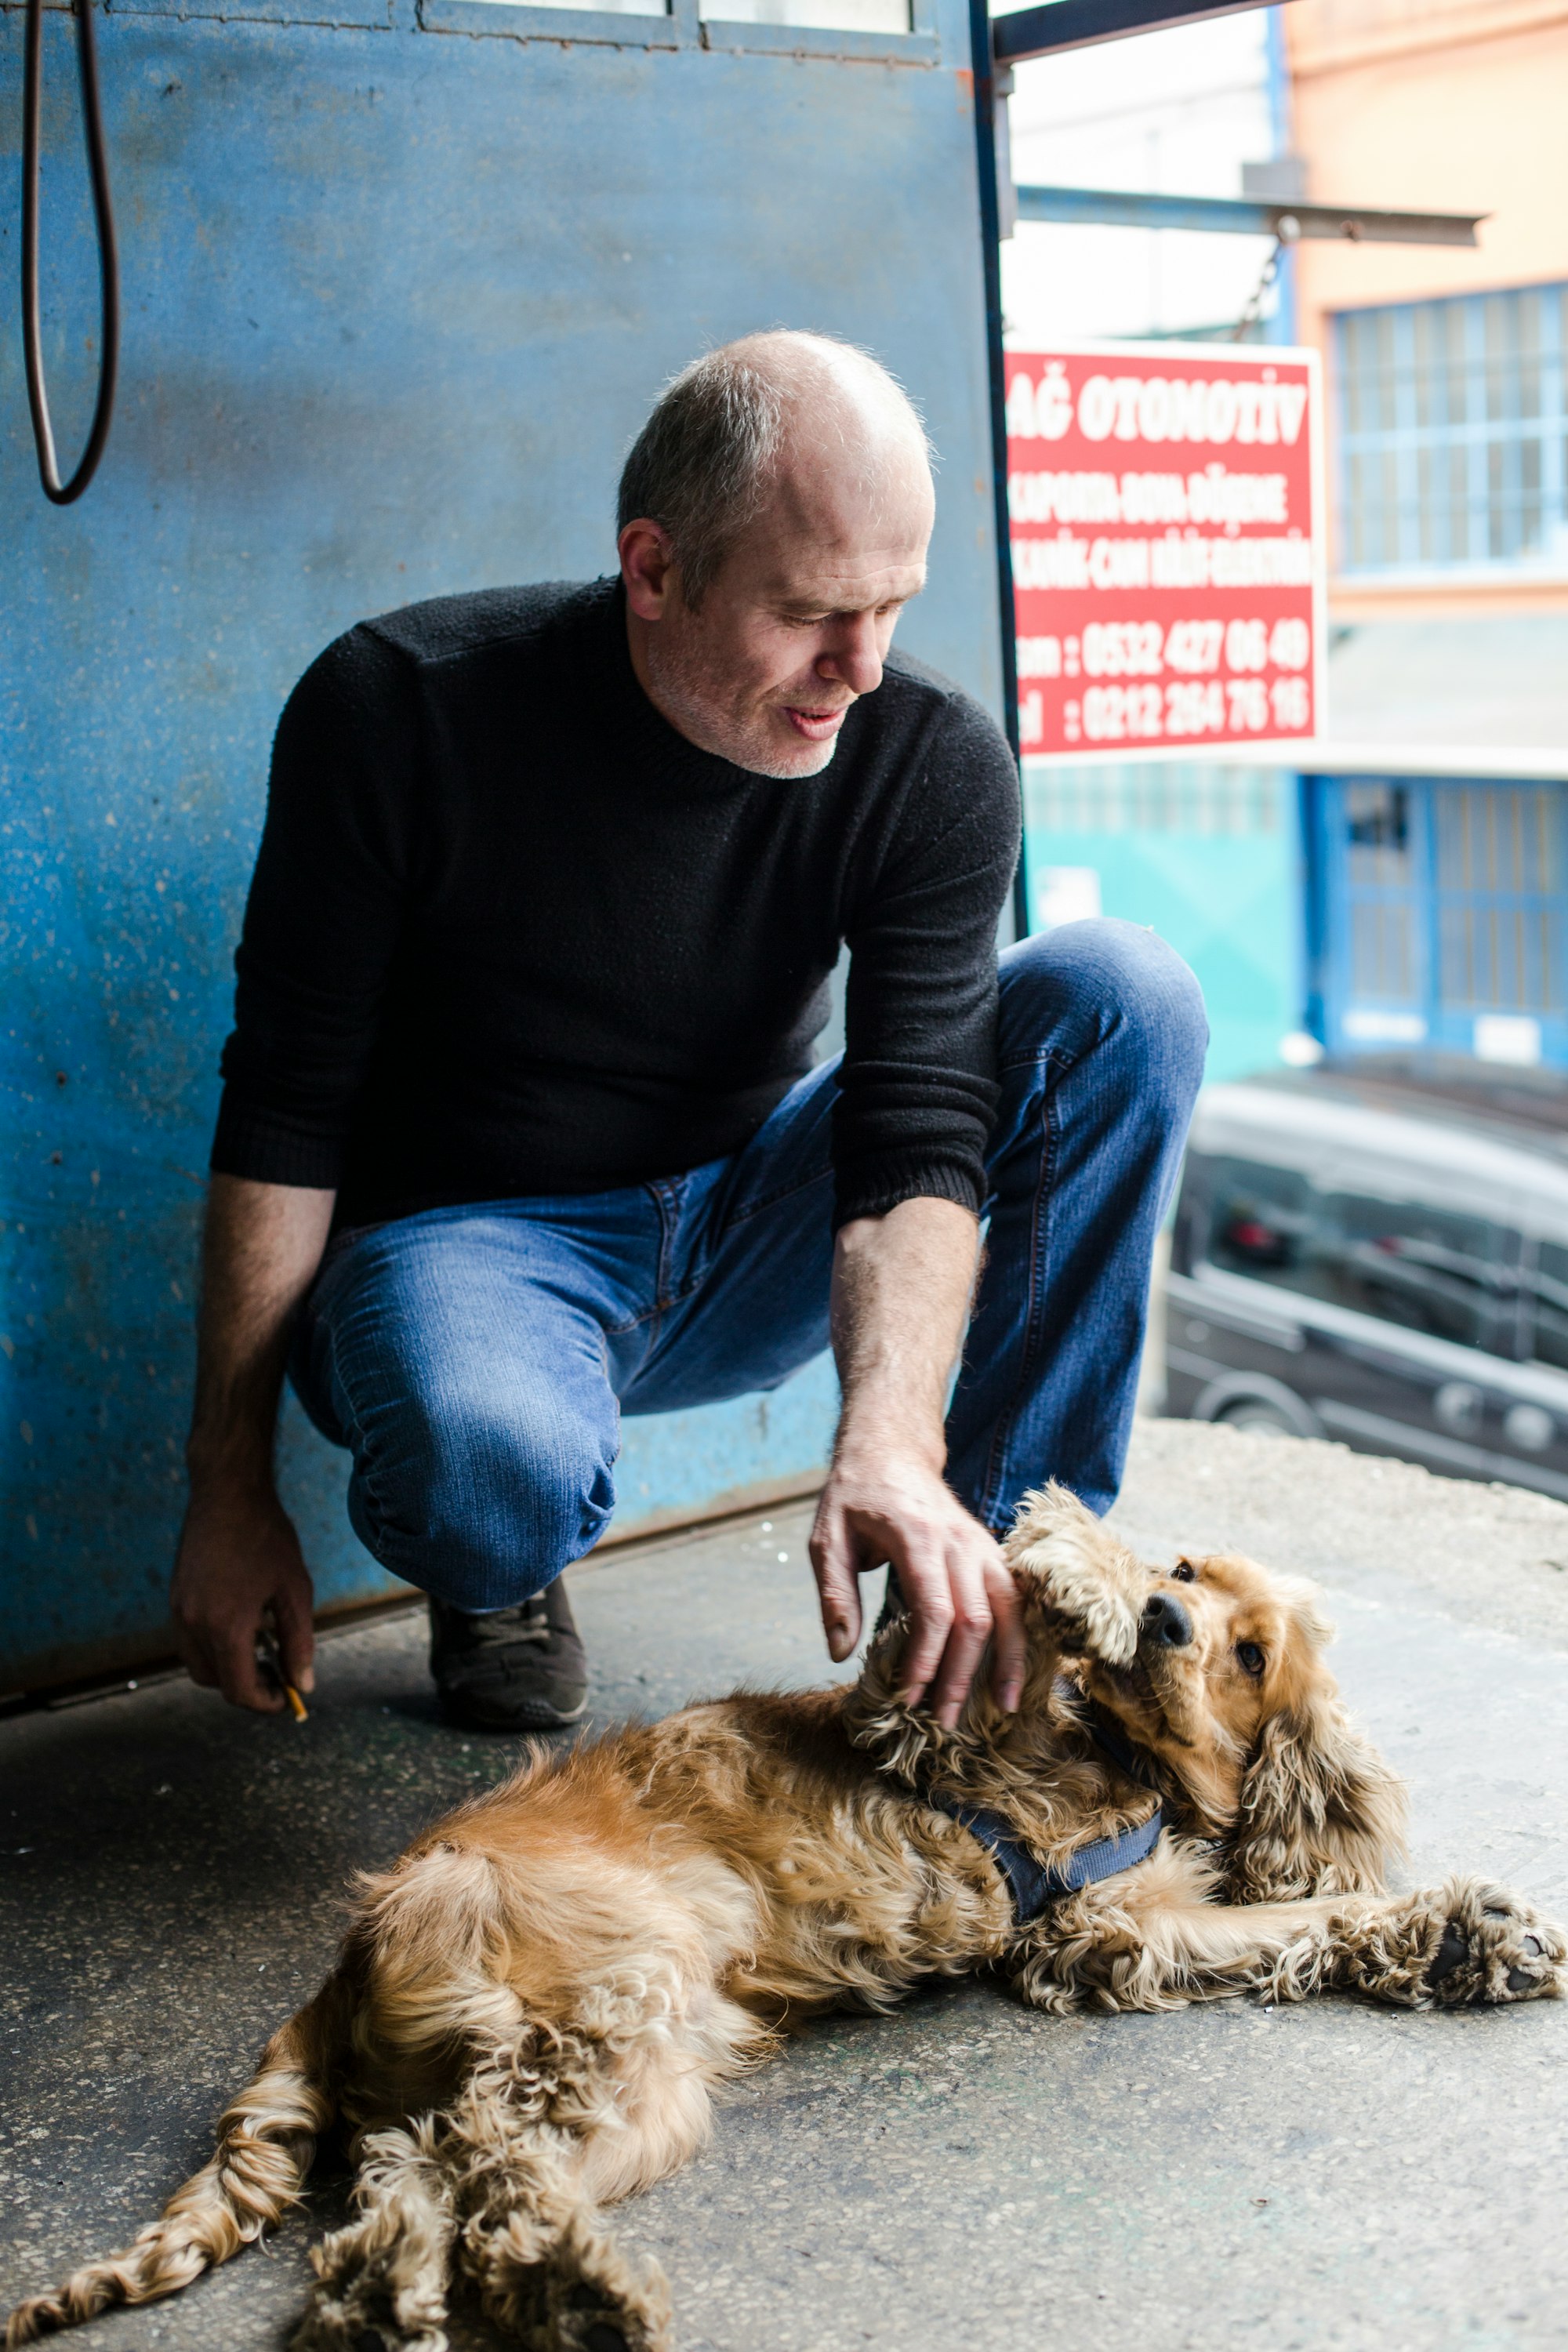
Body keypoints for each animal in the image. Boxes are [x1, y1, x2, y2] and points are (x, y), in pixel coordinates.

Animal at [5, 1496, 1561, 2343]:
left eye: (1246, 1652)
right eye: (1184, 1573)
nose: (1169, 1621)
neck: (1124, 1769)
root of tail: (340, 1966)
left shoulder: (1107, 1933)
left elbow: (1288, 1920)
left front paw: (1466, 1932)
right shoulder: (931, 1724)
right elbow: (981, 1611)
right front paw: (1076, 1564)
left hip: (594, 2063)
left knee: (422, 2194)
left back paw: (474, 2296)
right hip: (609, 2015)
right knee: (478, 2176)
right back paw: (564, 2293)